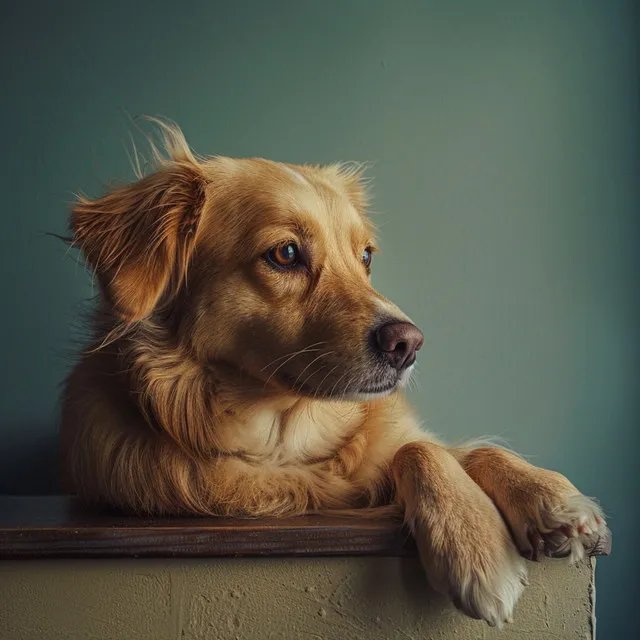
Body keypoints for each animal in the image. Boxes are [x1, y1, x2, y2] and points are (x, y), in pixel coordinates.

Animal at [60, 120, 608, 624]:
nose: (409, 344)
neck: (286, 435)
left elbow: (446, 447)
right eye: (285, 253)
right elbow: (420, 449)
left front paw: (549, 500)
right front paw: (482, 551)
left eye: (364, 256)